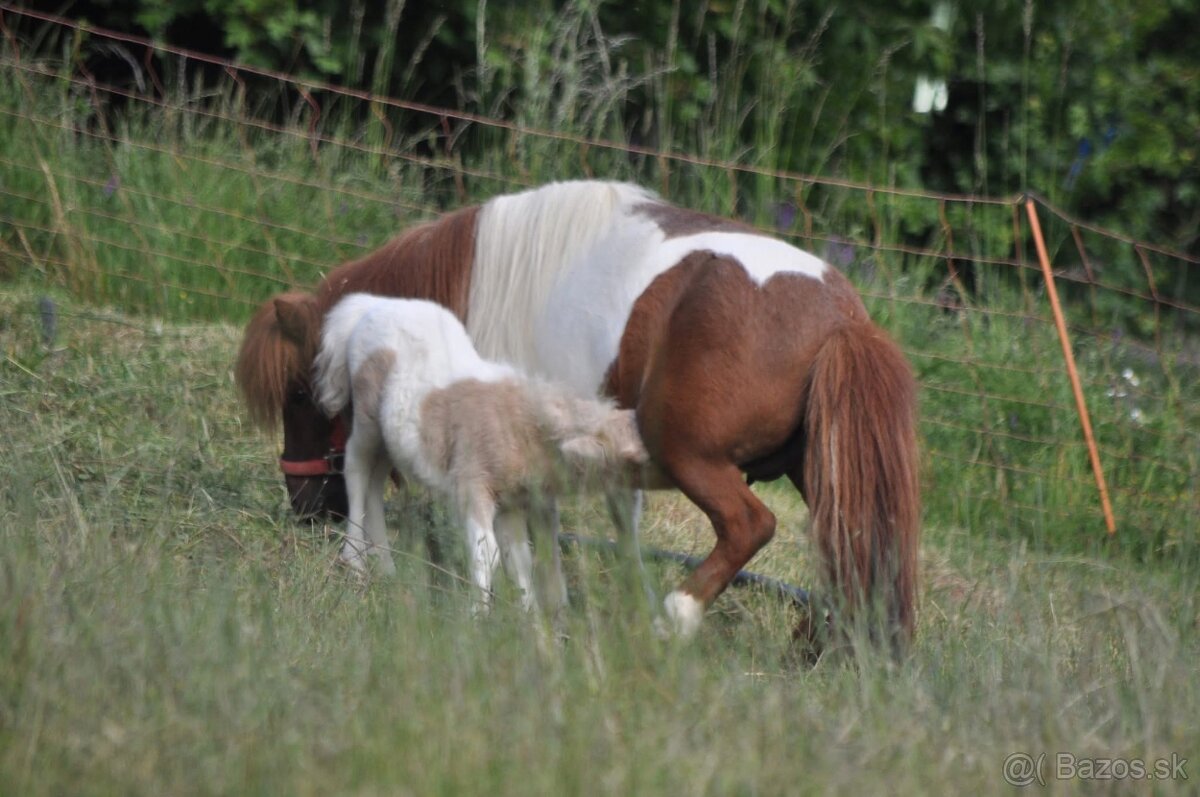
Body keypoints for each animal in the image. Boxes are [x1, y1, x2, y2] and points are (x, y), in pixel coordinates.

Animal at [312, 293, 651, 616]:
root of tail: (373, 306)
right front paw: (479, 614)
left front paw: (529, 616)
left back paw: (385, 567)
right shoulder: (473, 483)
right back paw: (354, 563)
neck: (526, 425)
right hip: (366, 417)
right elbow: (486, 552)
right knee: (356, 470)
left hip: (388, 436)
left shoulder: (512, 501)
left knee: (375, 483)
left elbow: (519, 558)